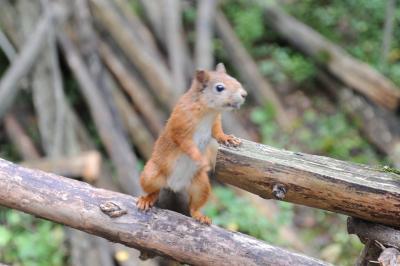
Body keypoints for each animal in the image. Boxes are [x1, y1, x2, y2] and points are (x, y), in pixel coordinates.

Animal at [138, 63, 247, 223]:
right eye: (219, 88)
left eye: (234, 79)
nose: (244, 94)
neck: (209, 111)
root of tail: (174, 187)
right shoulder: (181, 125)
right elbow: (186, 144)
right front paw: (201, 160)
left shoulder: (214, 122)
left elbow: (217, 132)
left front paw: (227, 138)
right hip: (151, 175)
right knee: (153, 191)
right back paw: (146, 199)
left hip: (201, 185)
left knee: (194, 206)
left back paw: (200, 216)